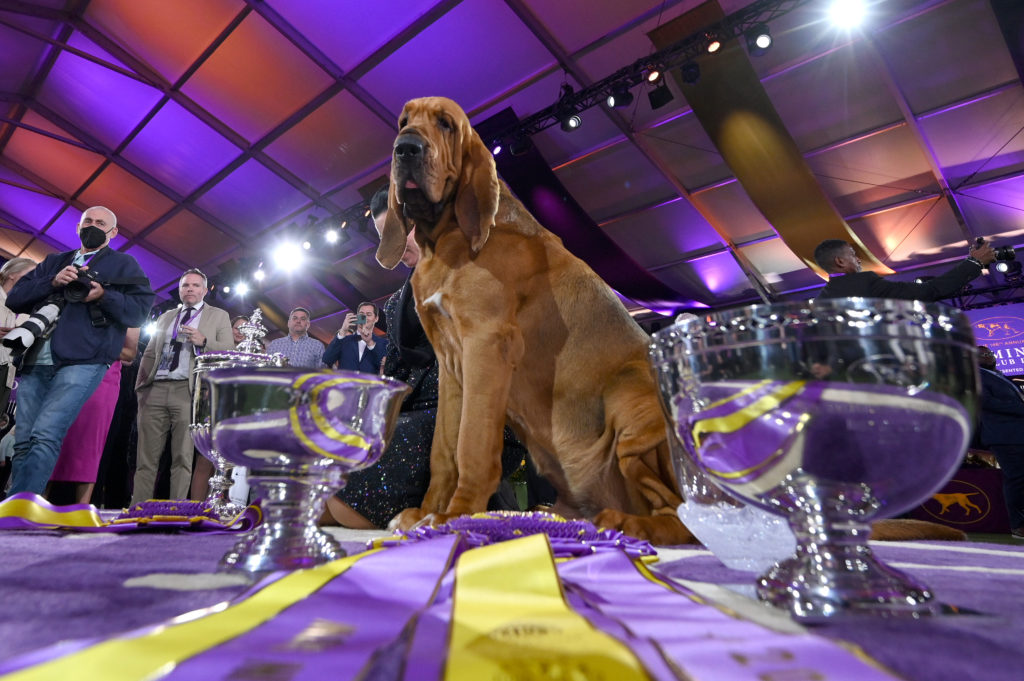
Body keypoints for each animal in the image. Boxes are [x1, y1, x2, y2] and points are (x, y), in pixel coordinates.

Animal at [374, 95, 958, 544]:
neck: (446, 238)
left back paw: (629, 524)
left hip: (632, 402)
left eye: (445, 124)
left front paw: (456, 517)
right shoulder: (453, 366)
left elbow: (473, 446)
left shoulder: (487, 349)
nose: (405, 149)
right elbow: (443, 450)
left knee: (684, 515)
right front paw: (428, 511)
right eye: (403, 122)